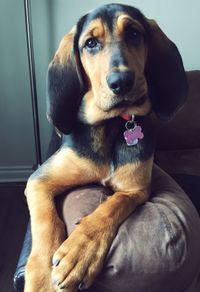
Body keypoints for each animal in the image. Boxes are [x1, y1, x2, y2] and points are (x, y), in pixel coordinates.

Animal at [24, 2, 188, 292]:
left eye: (134, 33)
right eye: (90, 43)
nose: (121, 82)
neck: (112, 124)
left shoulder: (135, 189)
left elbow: (109, 208)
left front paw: (79, 252)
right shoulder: (39, 180)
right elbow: (45, 221)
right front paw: (42, 277)